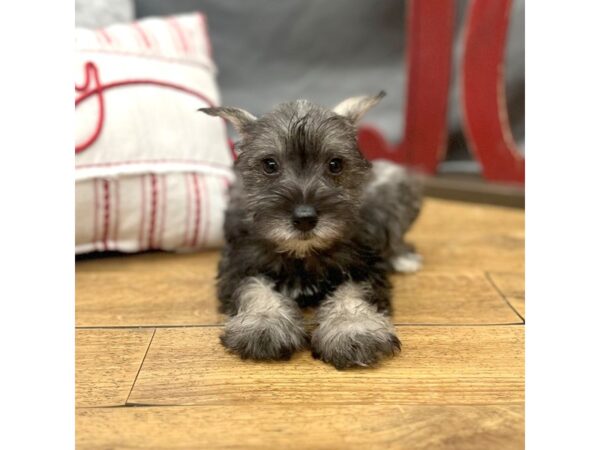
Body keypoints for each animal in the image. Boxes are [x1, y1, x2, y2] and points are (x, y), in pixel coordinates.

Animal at [200, 92, 422, 370]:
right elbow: (255, 289)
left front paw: (353, 329)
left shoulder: (364, 265)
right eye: (270, 165)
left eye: (335, 164)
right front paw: (263, 324)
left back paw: (404, 259)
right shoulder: (239, 265)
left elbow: (353, 294)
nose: (305, 219)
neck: (302, 254)